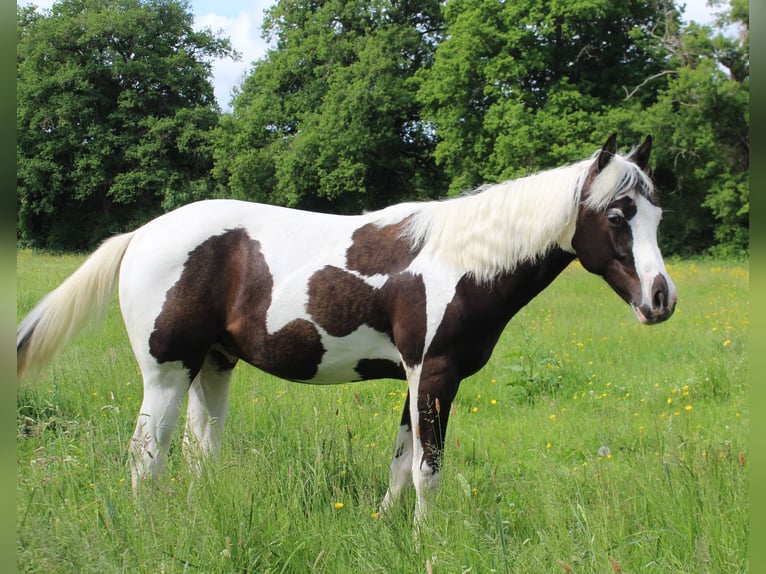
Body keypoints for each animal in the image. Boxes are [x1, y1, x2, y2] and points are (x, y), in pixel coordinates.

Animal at [17, 133, 676, 522]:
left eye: (657, 214)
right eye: (617, 215)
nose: (661, 299)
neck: (460, 260)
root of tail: (141, 235)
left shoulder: (418, 379)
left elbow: (401, 463)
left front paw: (388, 527)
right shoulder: (436, 375)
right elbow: (428, 470)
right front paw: (428, 540)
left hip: (213, 366)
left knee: (198, 453)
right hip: (167, 372)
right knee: (144, 458)